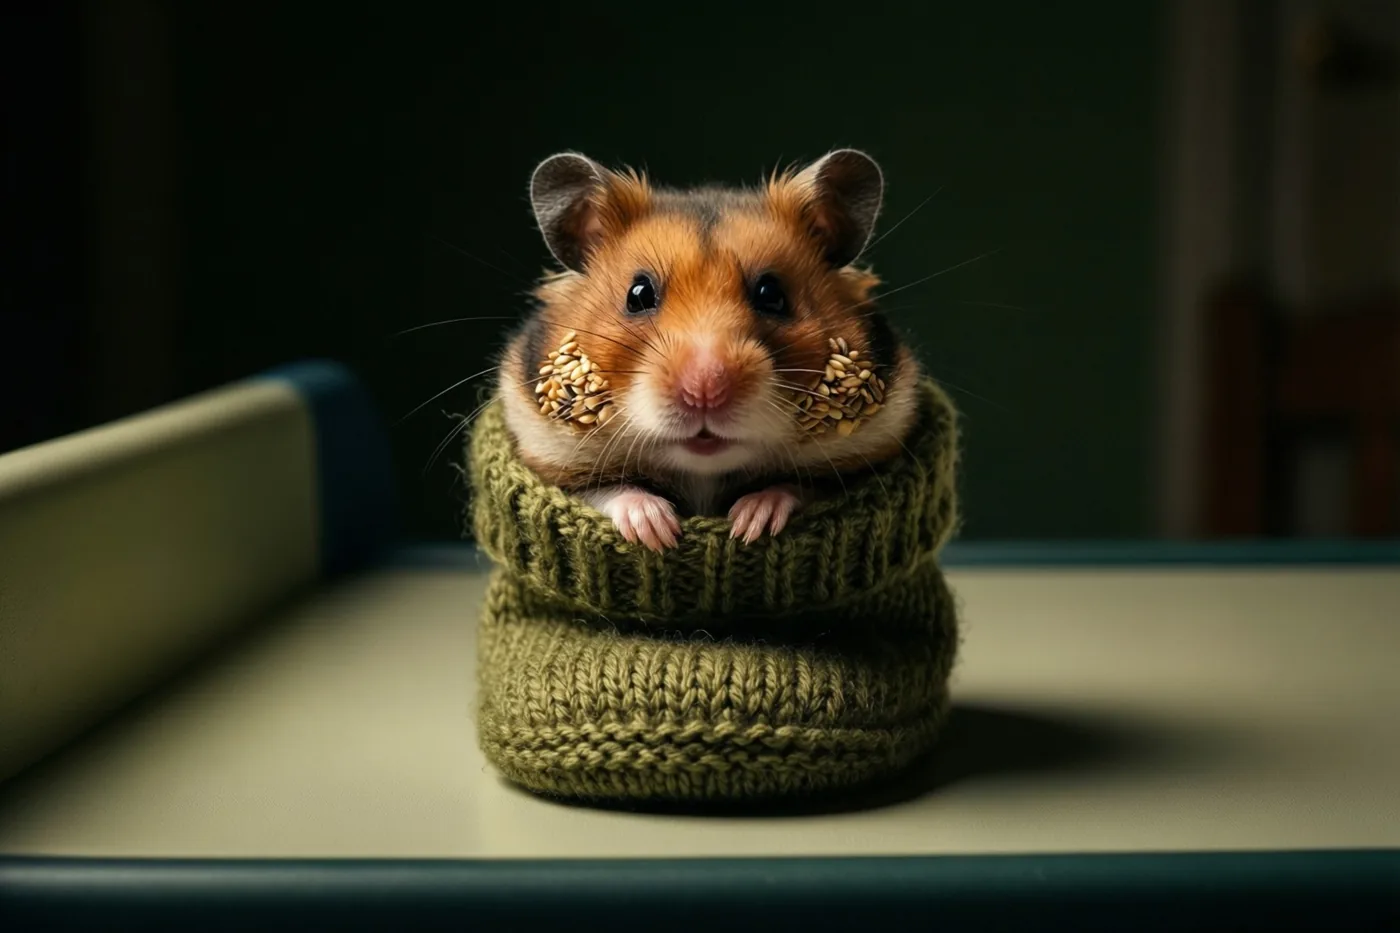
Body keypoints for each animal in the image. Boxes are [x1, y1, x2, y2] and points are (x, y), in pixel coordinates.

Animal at [495, 148, 923, 551]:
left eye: (772, 295)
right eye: (638, 294)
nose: (705, 390)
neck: (703, 474)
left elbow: (798, 488)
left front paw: (750, 522)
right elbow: (608, 491)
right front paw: (658, 532)